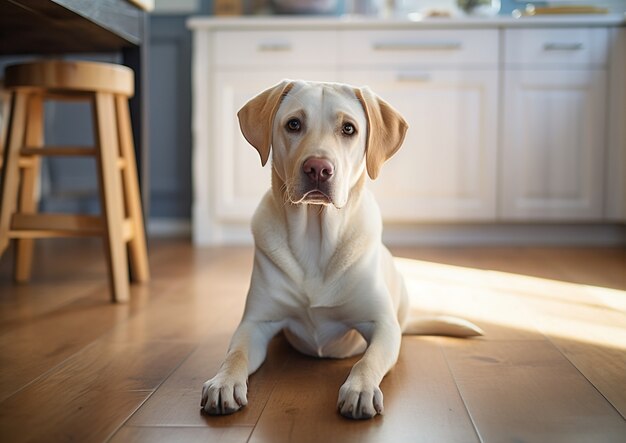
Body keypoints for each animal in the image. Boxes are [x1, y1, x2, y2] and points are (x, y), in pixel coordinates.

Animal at [197, 81, 480, 422]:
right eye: (294, 124)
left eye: (348, 129)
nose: (318, 168)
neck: (316, 238)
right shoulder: (256, 323)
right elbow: (235, 355)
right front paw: (222, 382)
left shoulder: (382, 325)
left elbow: (367, 360)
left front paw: (359, 390)